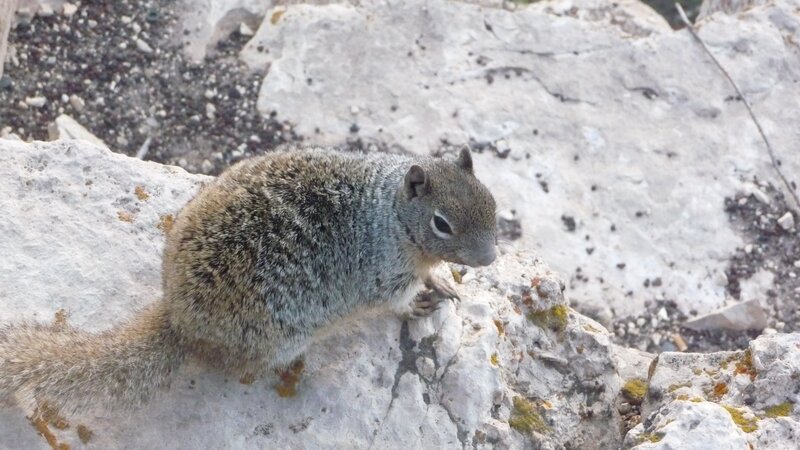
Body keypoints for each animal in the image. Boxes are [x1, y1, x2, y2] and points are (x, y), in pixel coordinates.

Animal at [0, 146, 497, 414]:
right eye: (441, 224)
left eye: (492, 201)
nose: (491, 258)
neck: (391, 213)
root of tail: (181, 324)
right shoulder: (385, 271)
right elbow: (397, 299)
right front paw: (421, 301)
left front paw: (445, 281)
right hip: (280, 337)